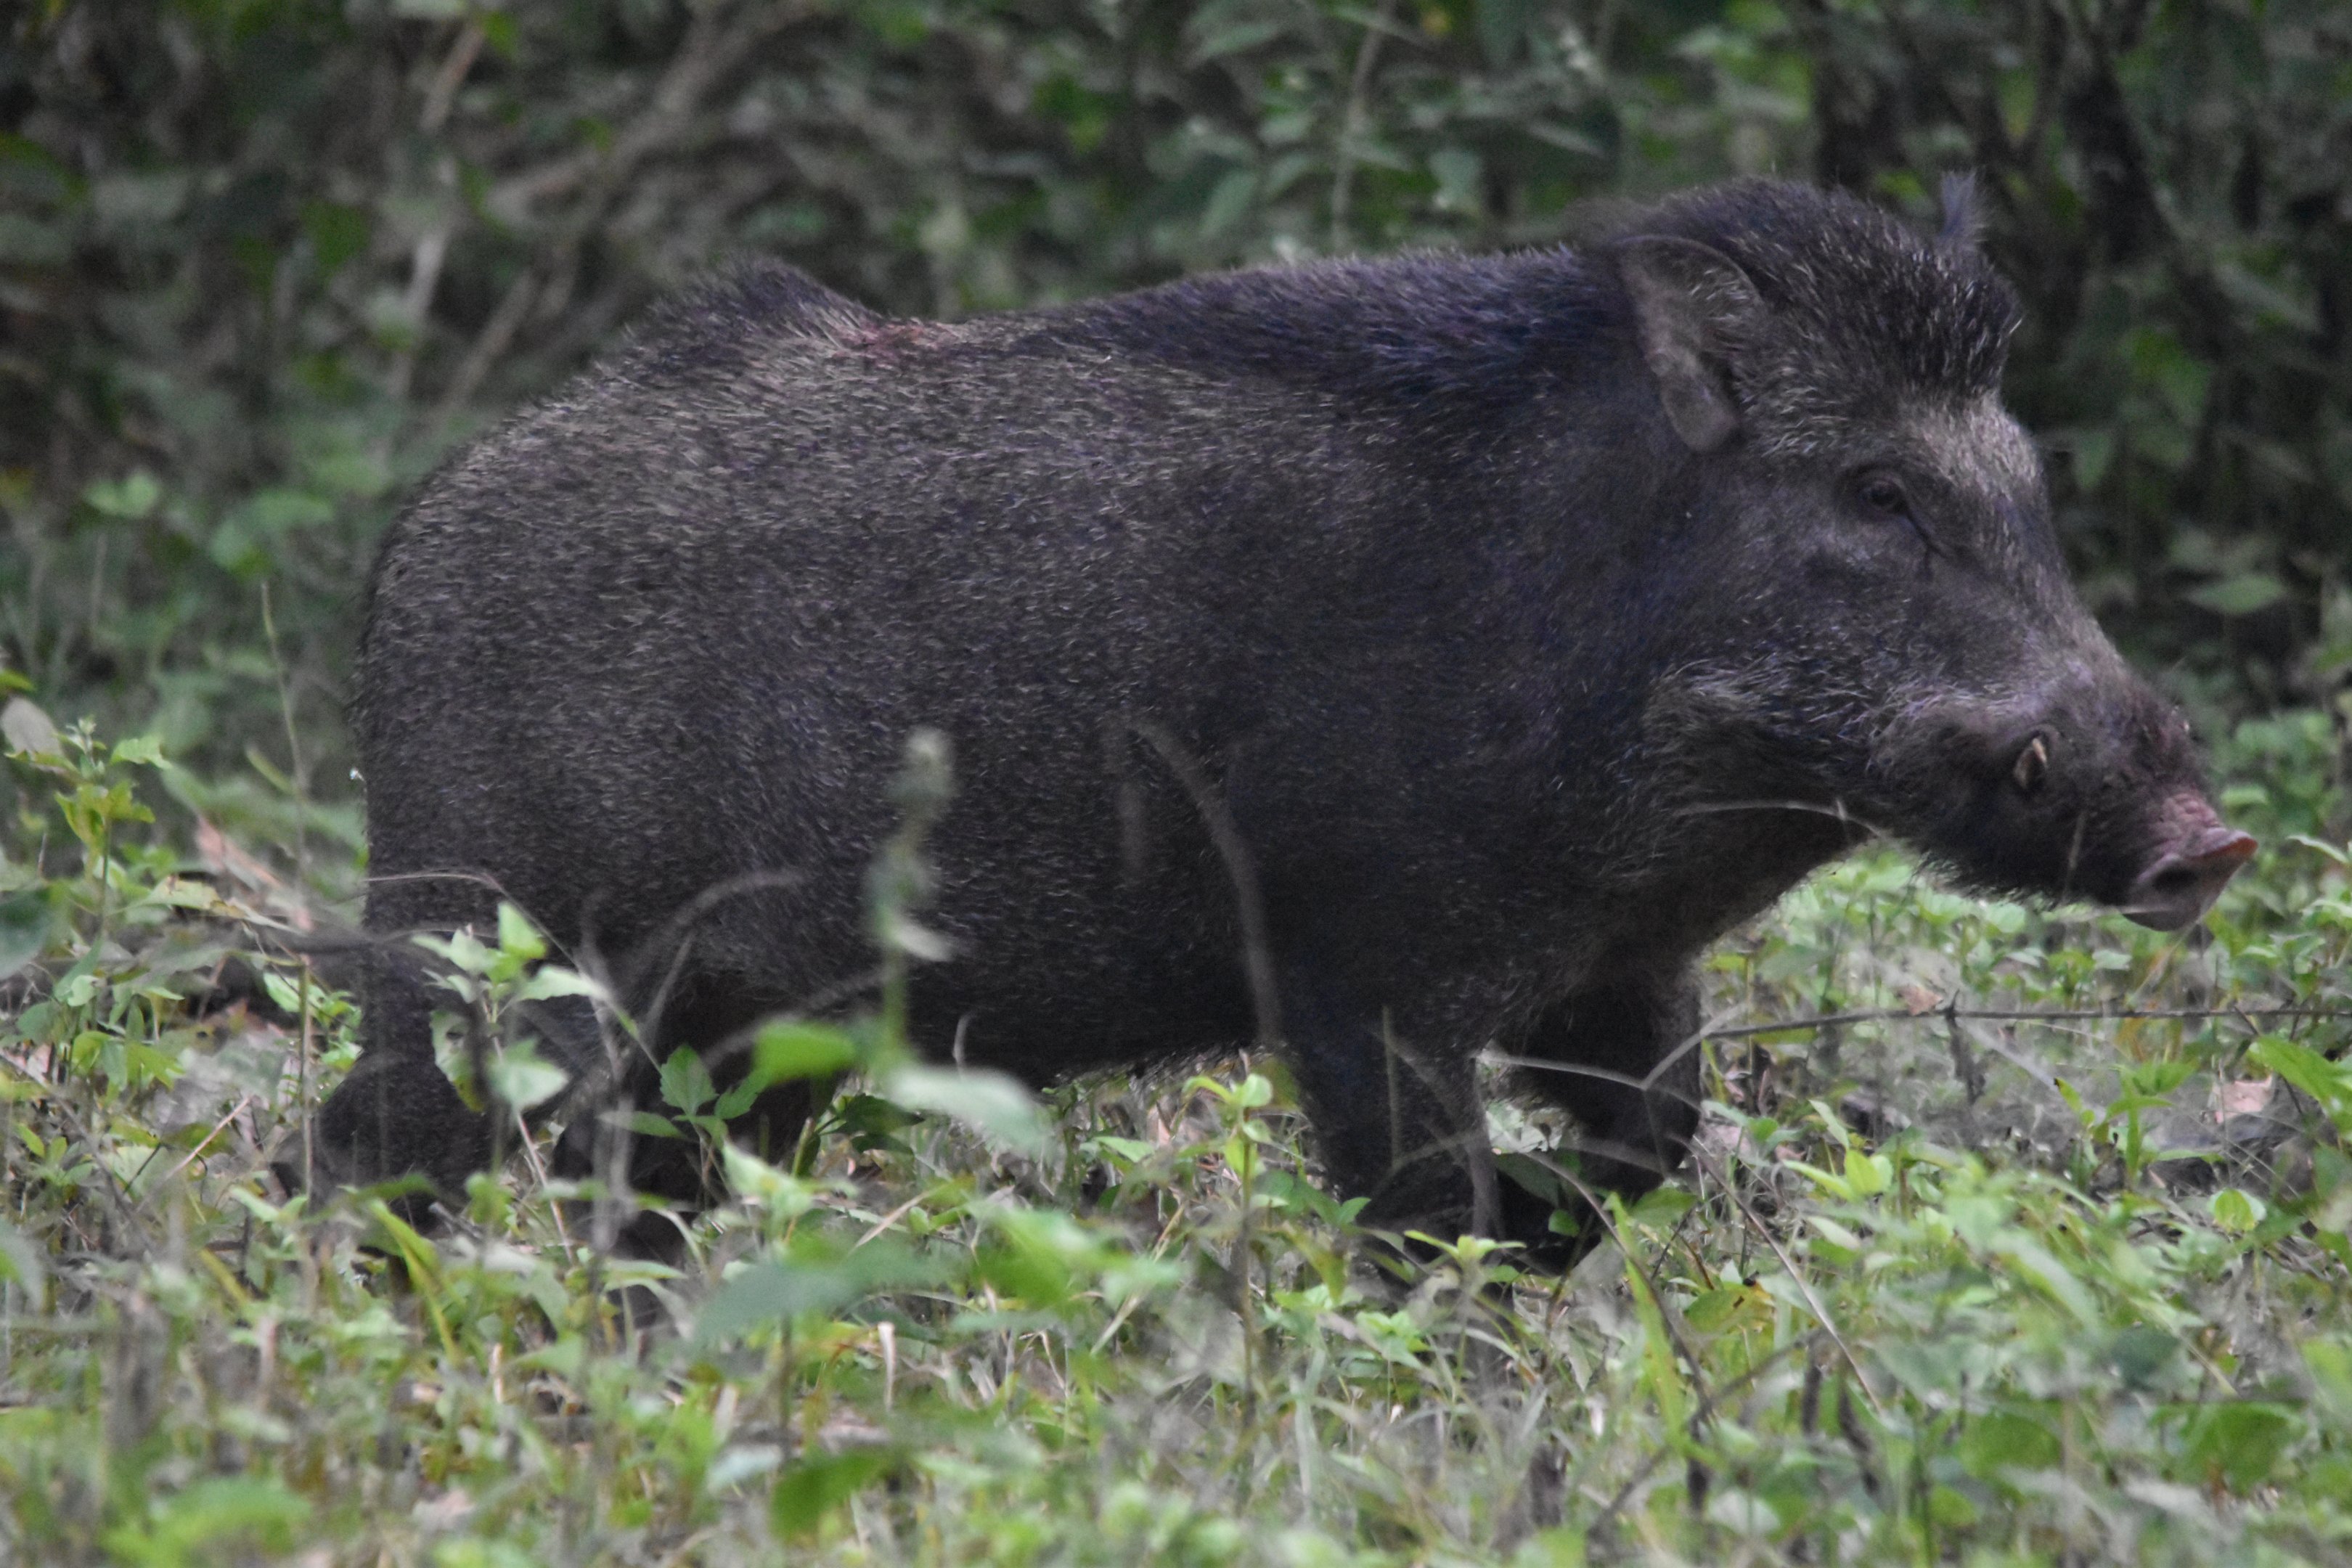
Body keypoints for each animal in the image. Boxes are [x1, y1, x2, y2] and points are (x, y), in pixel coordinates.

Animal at [313, 178, 2253, 1260]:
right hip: (488, 937)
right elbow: (1423, 1205)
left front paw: (1544, 1230)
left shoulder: (1616, 975)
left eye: (2020, 487)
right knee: (373, 1143)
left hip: (740, 1035)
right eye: (1876, 494)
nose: (2210, 838)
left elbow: (1650, 1151)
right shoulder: (1357, 973)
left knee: (640, 1191)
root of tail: (409, 546)